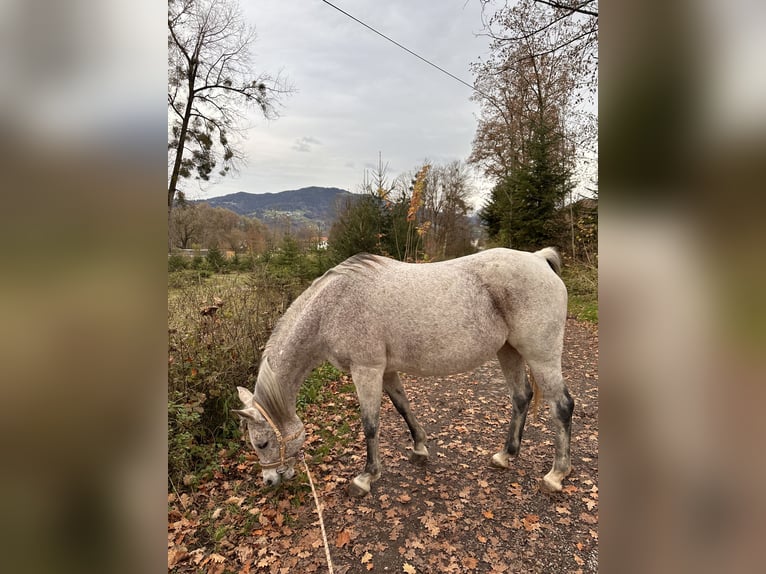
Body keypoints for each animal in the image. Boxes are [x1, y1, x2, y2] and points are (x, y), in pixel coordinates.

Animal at [236, 249, 576, 500]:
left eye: (261, 443)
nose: (269, 480)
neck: (332, 307)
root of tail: (538, 259)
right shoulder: (386, 372)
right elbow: (403, 407)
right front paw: (419, 448)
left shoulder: (366, 370)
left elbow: (370, 424)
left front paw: (366, 477)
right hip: (509, 352)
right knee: (521, 397)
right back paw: (505, 455)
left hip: (541, 355)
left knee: (562, 406)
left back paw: (556, 474)